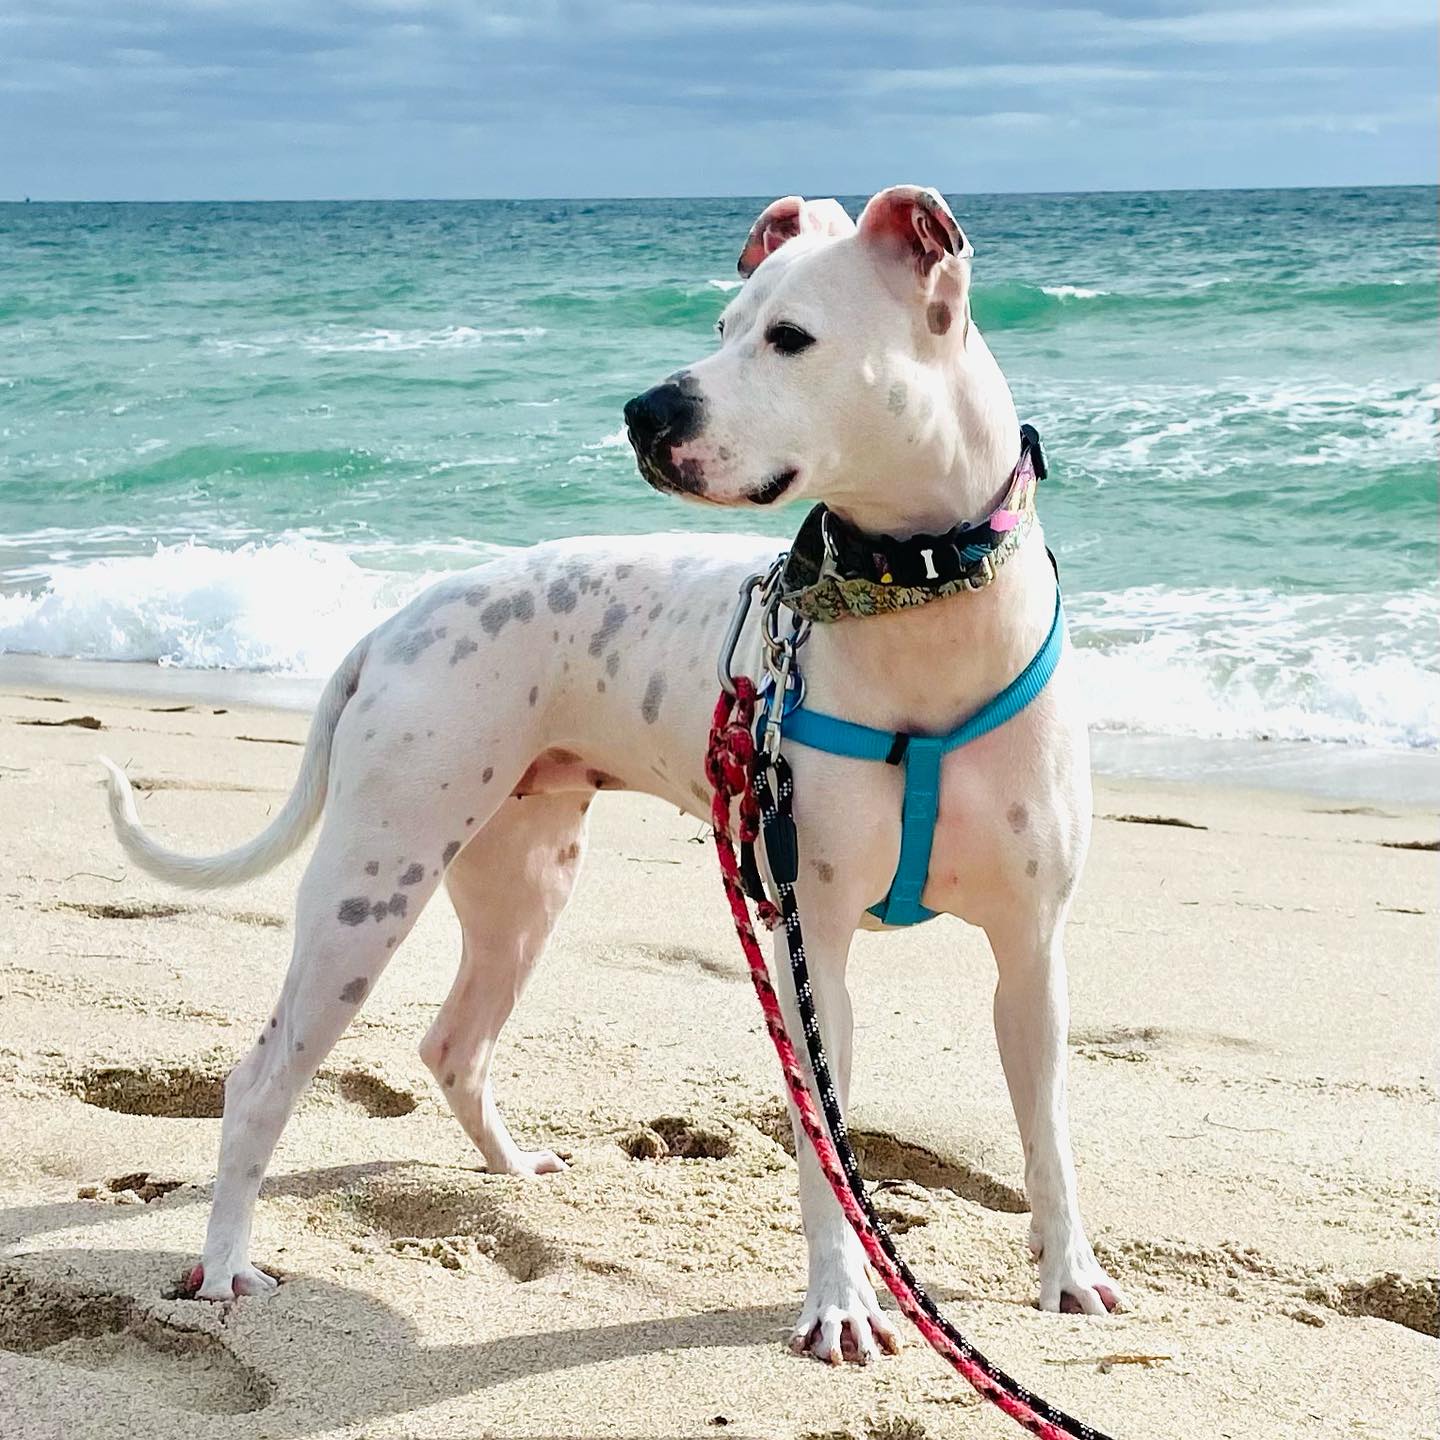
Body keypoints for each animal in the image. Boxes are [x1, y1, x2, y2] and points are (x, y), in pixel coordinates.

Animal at [104, 185, 1123, 1365]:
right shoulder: (809, 948)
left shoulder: (1032, 954)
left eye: (790, 337)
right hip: (371, 885)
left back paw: (511, 1169)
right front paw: (840, 1304)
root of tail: (396, 621)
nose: (644, 411)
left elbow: (1050, 1135)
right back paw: (225, 1264)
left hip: (523, 882)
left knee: (454, 1042)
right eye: (722, 324)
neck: (911, 597)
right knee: (263, 1080)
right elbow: (825, 1158)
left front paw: (1068, 1270)